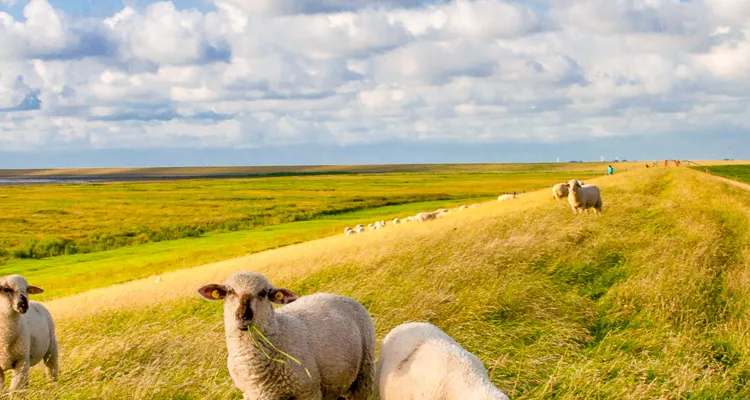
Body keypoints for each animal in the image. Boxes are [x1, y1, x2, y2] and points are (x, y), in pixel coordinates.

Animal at [198, 272, 376, 400]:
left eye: (263, 293)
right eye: (230, 291)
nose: (243, 316)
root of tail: (337, 295)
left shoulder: (308, 391)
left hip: (364, 374)